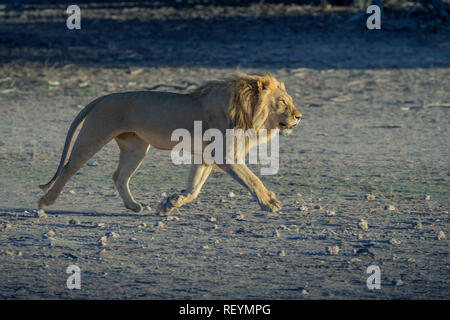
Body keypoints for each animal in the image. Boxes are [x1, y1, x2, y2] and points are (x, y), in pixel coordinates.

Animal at [38, 74, 302, 215]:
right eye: (282, 102)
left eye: (289, 101)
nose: (299, 116)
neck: (249, 114)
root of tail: (102, 97)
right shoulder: (224, 156)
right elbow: (252, 179)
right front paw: (270, 203)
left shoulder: (206, 156)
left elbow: (194, 189)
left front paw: (169, 204)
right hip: (93, 135)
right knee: (68, 168)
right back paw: (45, 202)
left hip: (136, 148)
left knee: (119, 176)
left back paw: (133, 206)